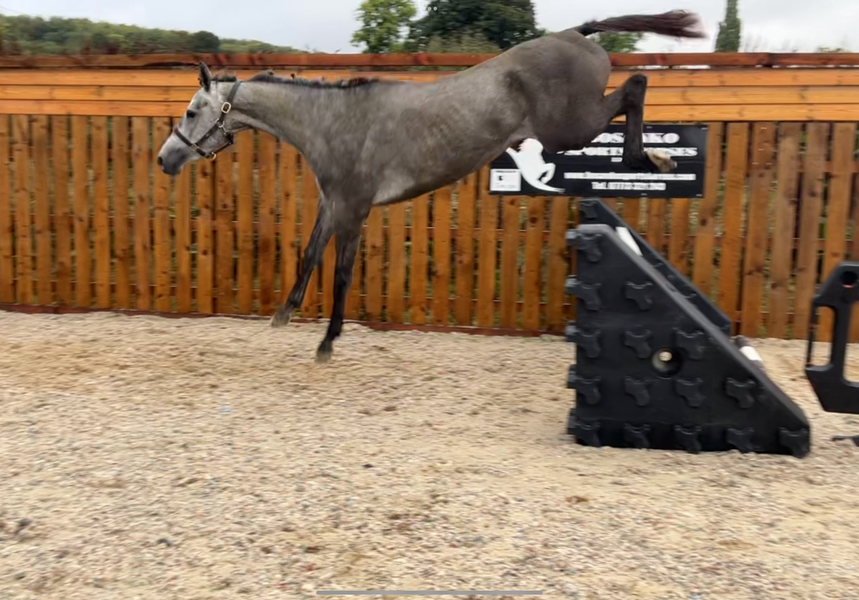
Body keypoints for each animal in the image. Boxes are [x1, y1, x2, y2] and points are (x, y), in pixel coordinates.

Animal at [156, 10, 706, 363]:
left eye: (191, 111)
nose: (165, 159)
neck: (331, 123)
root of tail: (576, 33)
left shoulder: (354, 208)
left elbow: (342, 274)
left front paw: (327, 343)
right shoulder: (333, 202)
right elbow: (310, 253)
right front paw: (283, 315)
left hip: (569, 128)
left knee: (635, 87)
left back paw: (652, 157)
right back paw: (654, 158)